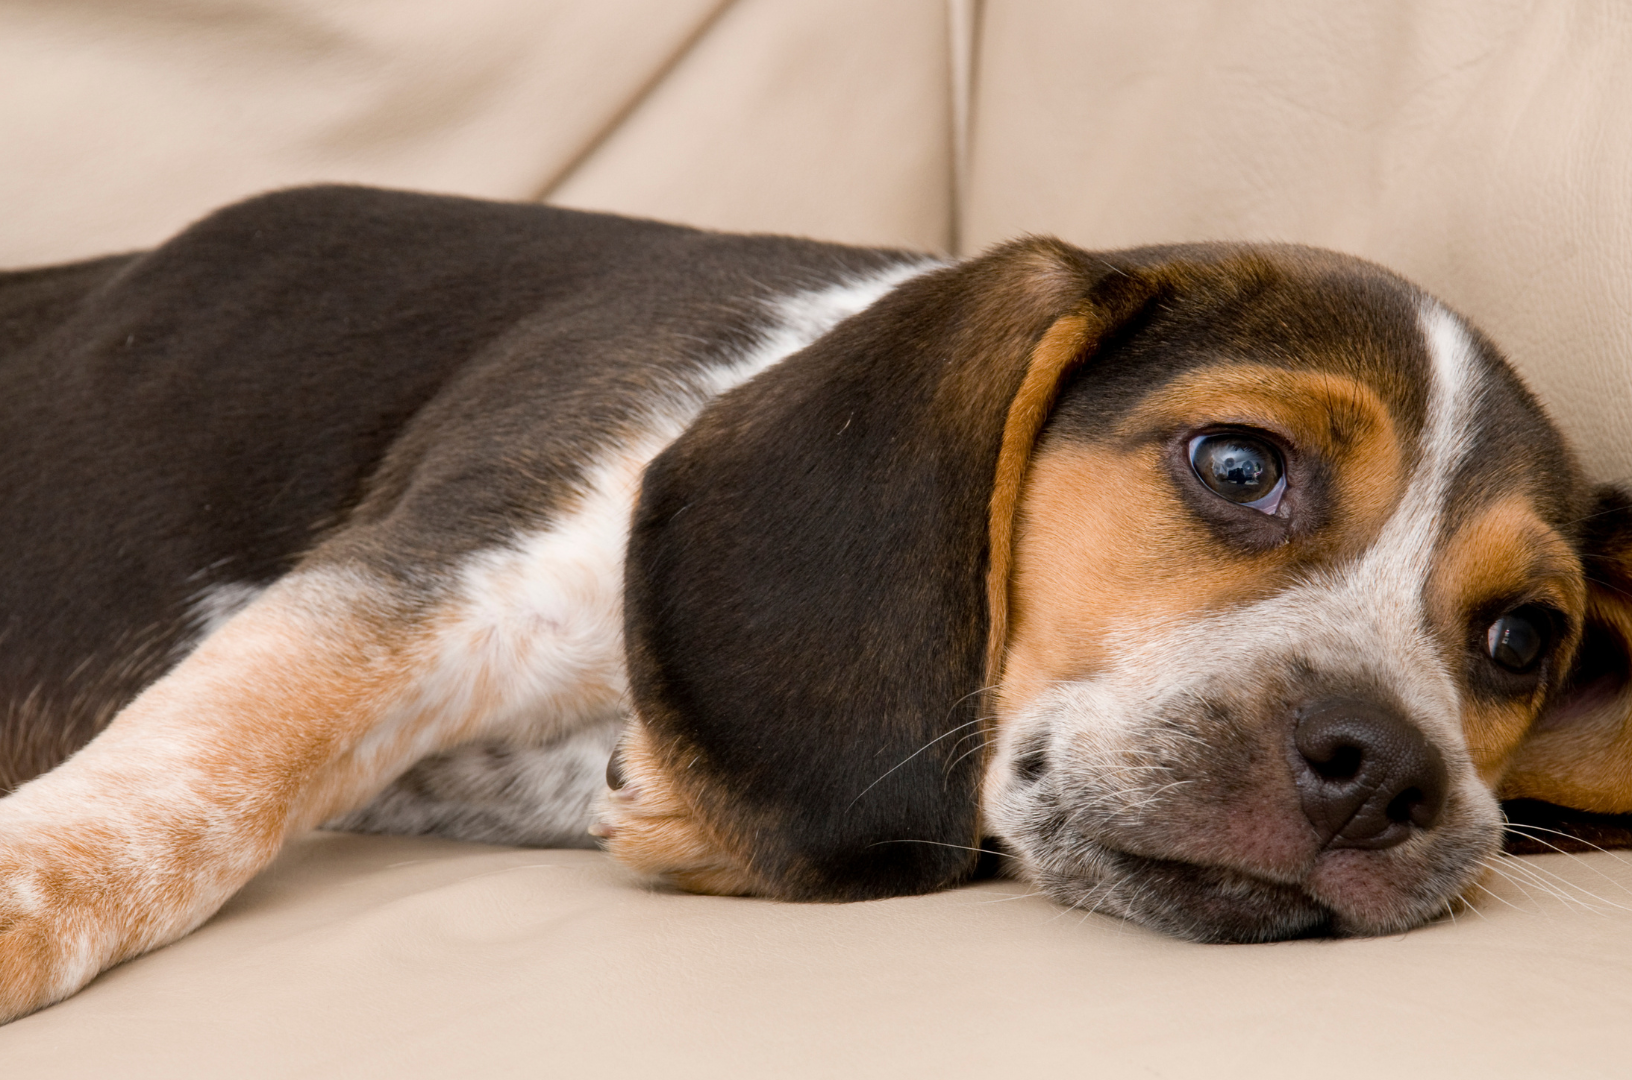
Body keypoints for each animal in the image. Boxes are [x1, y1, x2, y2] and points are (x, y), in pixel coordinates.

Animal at [3, 185, 1632, 1024]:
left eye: (1522, 639)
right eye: (1239, 464)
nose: (1385, 775)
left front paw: (673, 810)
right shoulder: (422, 586)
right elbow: (189, 794)